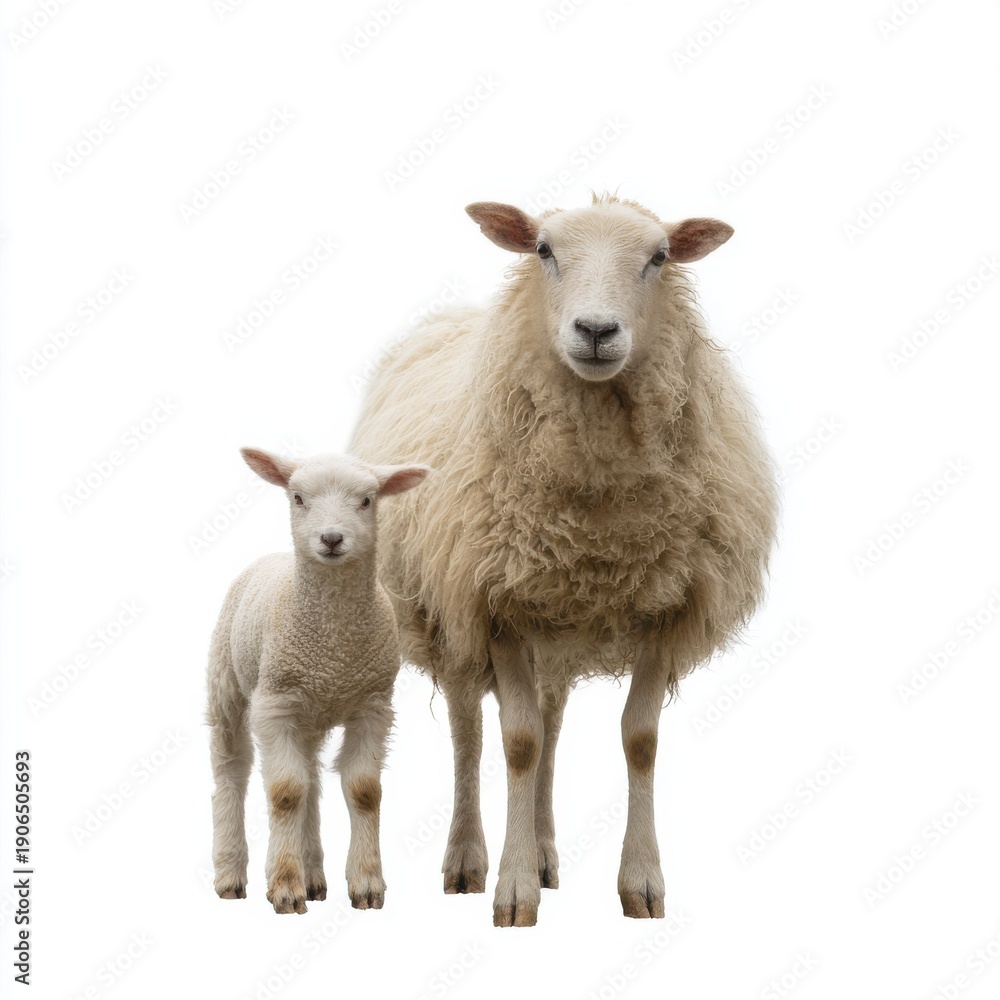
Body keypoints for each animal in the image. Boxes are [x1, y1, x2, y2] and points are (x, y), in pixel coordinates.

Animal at [206, 447, 429, 914]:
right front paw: (284, 888)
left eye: (367, 500)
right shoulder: (274, 702)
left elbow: (363, 790)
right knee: (231, 772)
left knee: (308, 776)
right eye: (297, 498)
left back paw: (313, 878)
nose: (331, 539)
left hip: (309, 713)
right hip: (228, 686)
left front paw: (366, 885)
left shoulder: (373, 703)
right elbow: (284, 792)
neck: (333, 649)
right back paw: (231, 875)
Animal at [349, 193, 779, 927]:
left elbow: (637, 740)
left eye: (659, 256)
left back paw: (547, 851)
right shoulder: (495, 602)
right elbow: (514, 742)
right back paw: (467, 858)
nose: (597, 330)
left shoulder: (666, 604)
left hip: (554, 625)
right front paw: (513, 888)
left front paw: (641, 882)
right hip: (447, 612)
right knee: (470, 729)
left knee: (550, 724)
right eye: (544, 250)